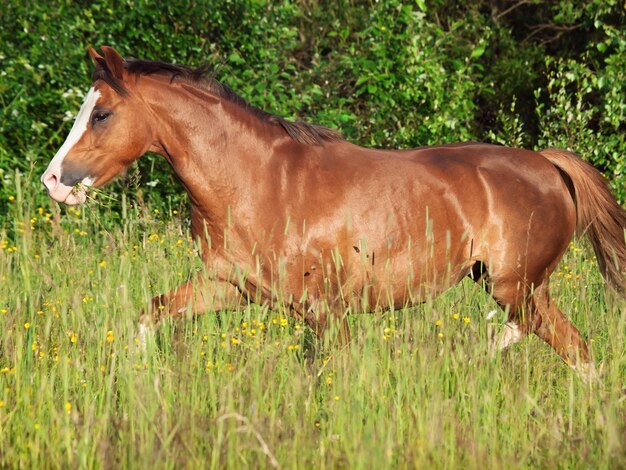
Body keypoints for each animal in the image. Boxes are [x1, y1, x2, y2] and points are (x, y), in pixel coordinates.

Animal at [41, 46, 620, 378]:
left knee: (544, 337)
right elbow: (152, 313)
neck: (256, 182)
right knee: (575, 350)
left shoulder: (324, 310)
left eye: (102, 114)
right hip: (514, 286)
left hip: (514, 285)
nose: (53, 180)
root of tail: (547, 164)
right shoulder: (229, 286)